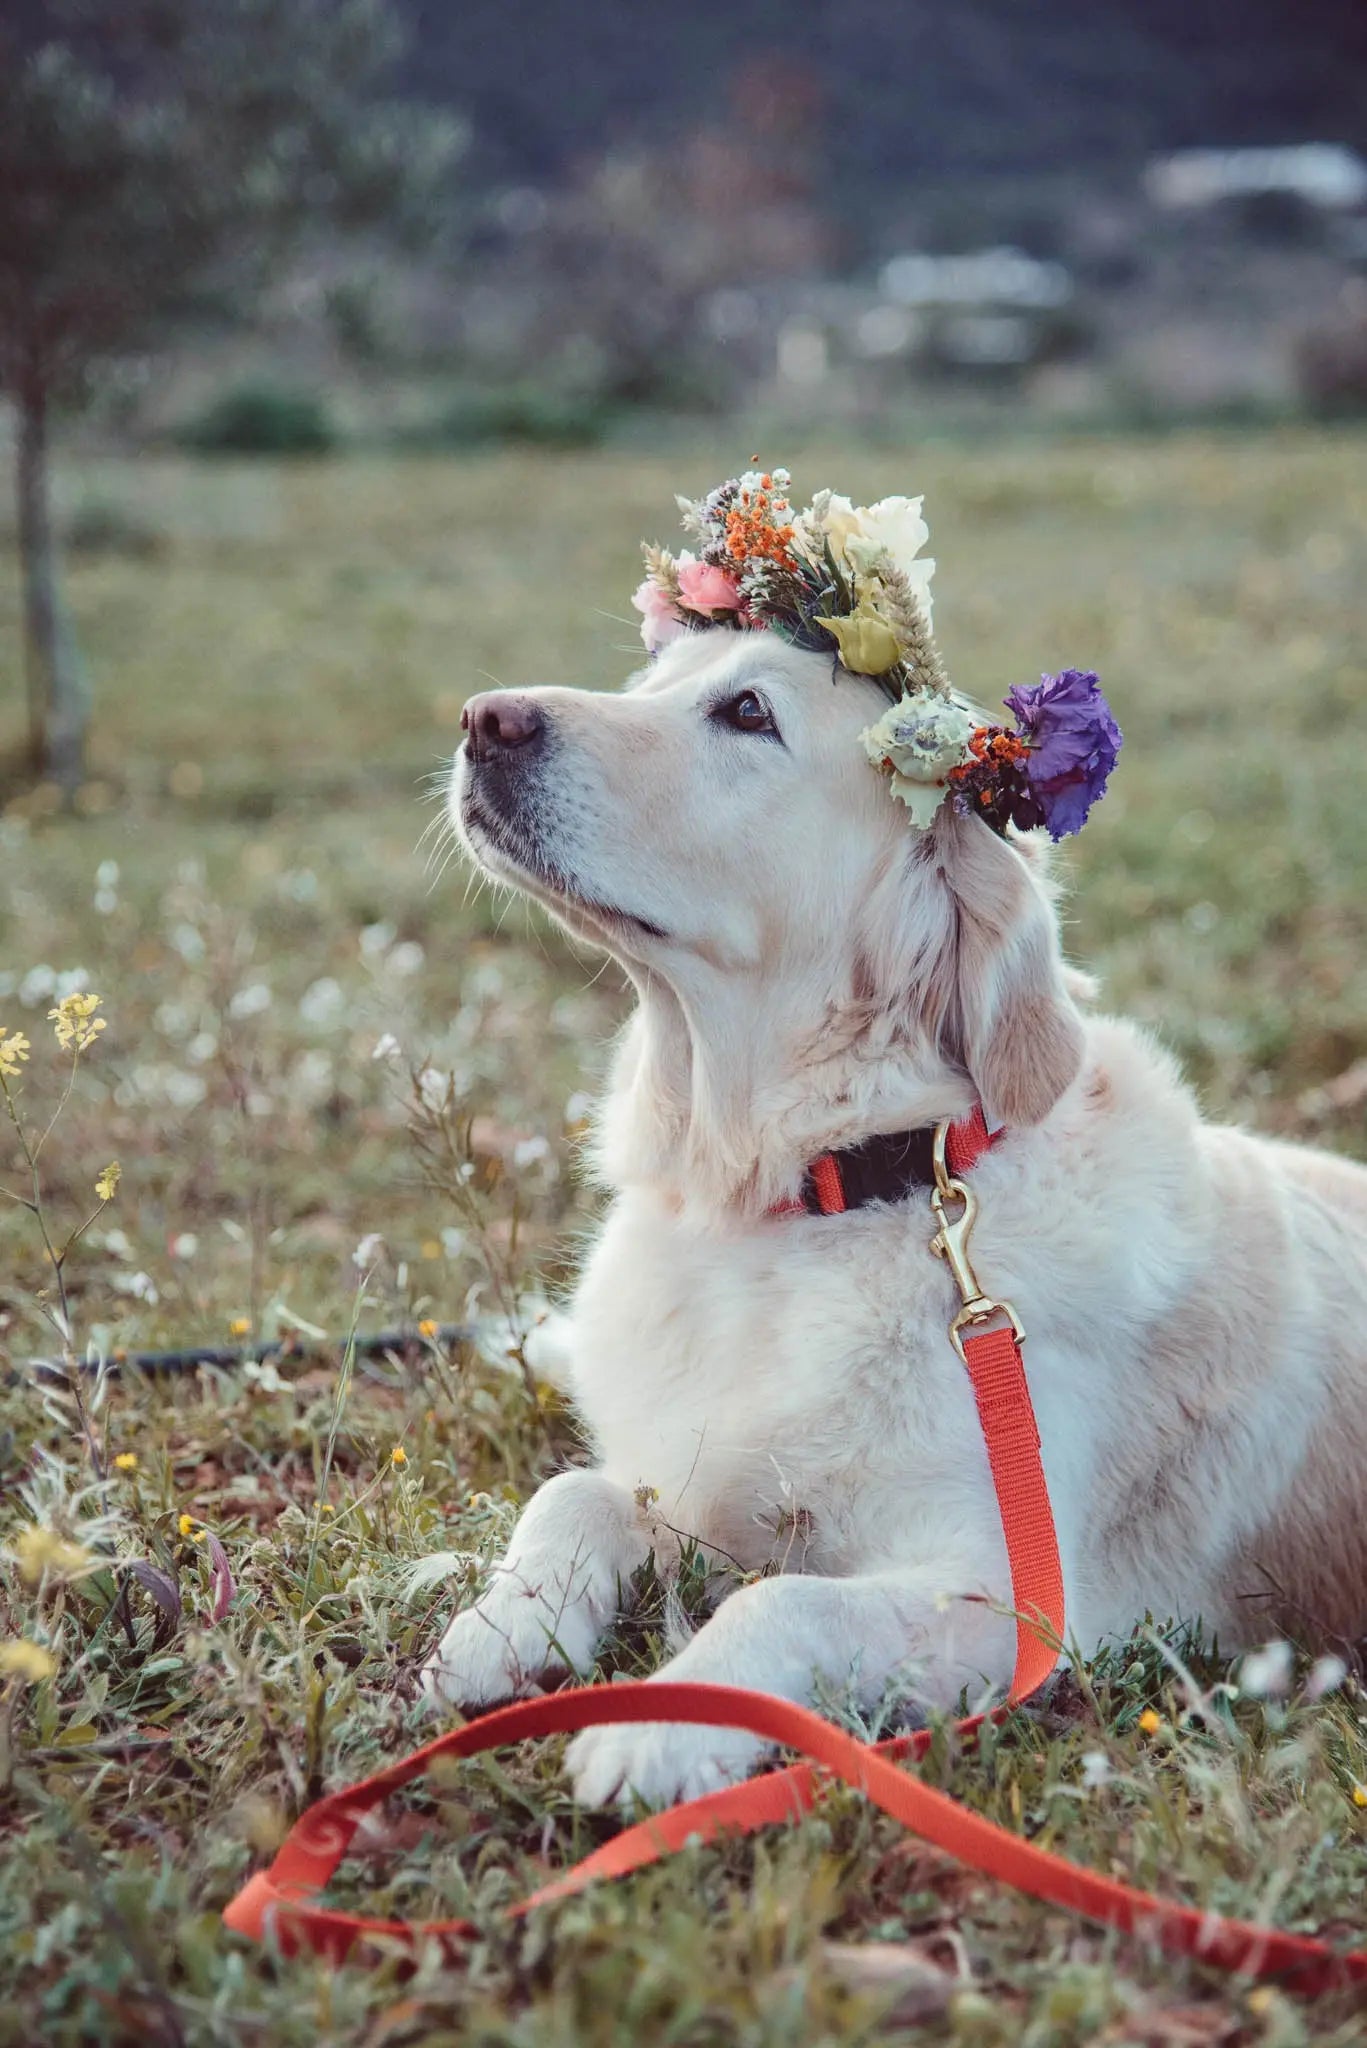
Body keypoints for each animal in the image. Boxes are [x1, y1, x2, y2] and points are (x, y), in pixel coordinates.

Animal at [422, 626, 1367, 1810]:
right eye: (648, 682)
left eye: (746, 712)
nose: (481, 718)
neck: (814, 1191)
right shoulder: (696, 1485)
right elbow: (574, 1489)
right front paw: (498, 1625)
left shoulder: (1015, 1604)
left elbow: (782, 1599)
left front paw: (664, 1725)